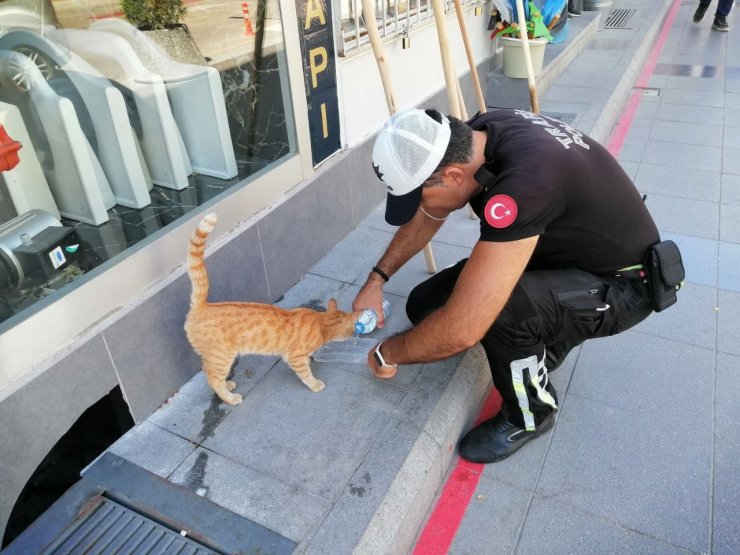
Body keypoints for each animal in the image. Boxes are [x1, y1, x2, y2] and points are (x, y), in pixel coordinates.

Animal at [184, 212, 360, 404]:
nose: (355, 334)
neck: (322, 322)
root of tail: (202, 305)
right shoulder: (295, 357)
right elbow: (306, 374)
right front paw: (315, 384)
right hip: (222, 356)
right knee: (213, 378)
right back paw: (230, 397)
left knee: (209, 372)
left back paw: (227, 385)